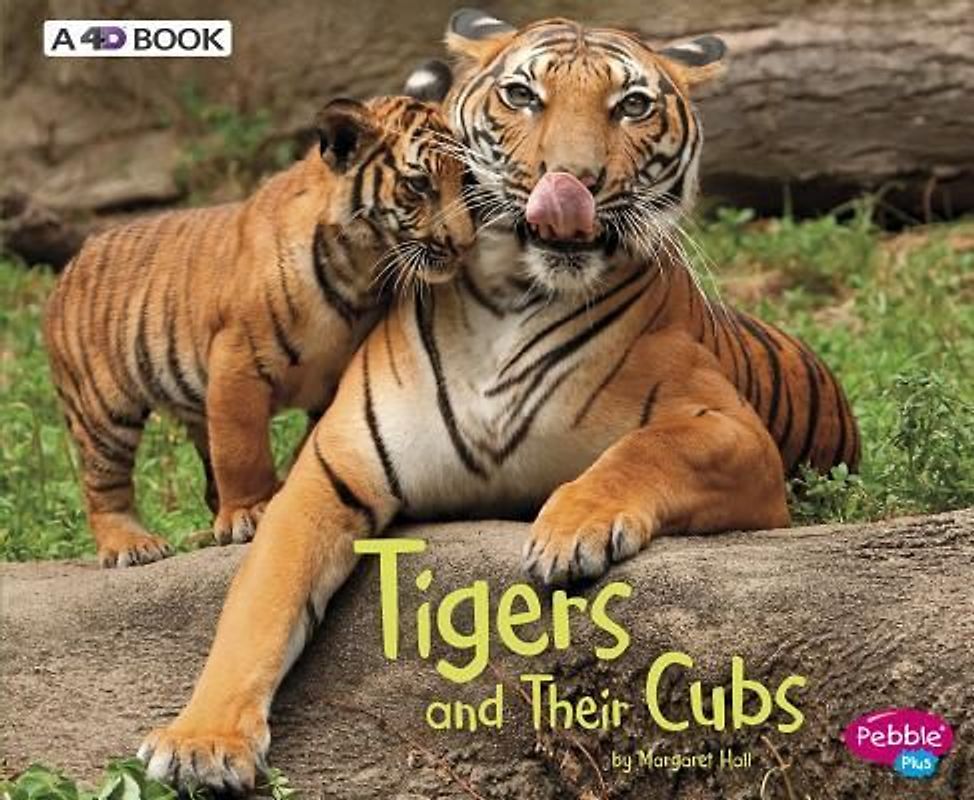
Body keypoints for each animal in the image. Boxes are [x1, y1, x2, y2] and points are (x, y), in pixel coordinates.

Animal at [43, 96, 474, 568]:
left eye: (466, 178)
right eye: (419, 185)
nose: (465, 244)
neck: (363, 271)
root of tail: (70, 264)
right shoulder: (238, 363)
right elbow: (242, 451)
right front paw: (249, 513)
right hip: (103, 410)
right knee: (104, 485)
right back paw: (132, 544)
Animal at [139, 9, 859, 790]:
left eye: (632, 106)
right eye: (522, 95)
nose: (571, 180)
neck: (513, 298)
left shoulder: (730, 429)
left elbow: (643, 449)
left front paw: (570, 529)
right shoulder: (330, 473)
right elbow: (260, 603)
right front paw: (202, 742)